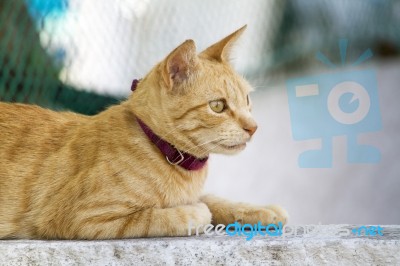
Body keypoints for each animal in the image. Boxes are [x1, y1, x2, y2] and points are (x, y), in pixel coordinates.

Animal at [0, 26, 288, 240]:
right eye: (218, 106)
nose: (254, 127)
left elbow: (215, 199)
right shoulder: (81, 217)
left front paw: (259, 210)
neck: (158, 145)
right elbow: (168, 215)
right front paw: (197, 213)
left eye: (247, 100)